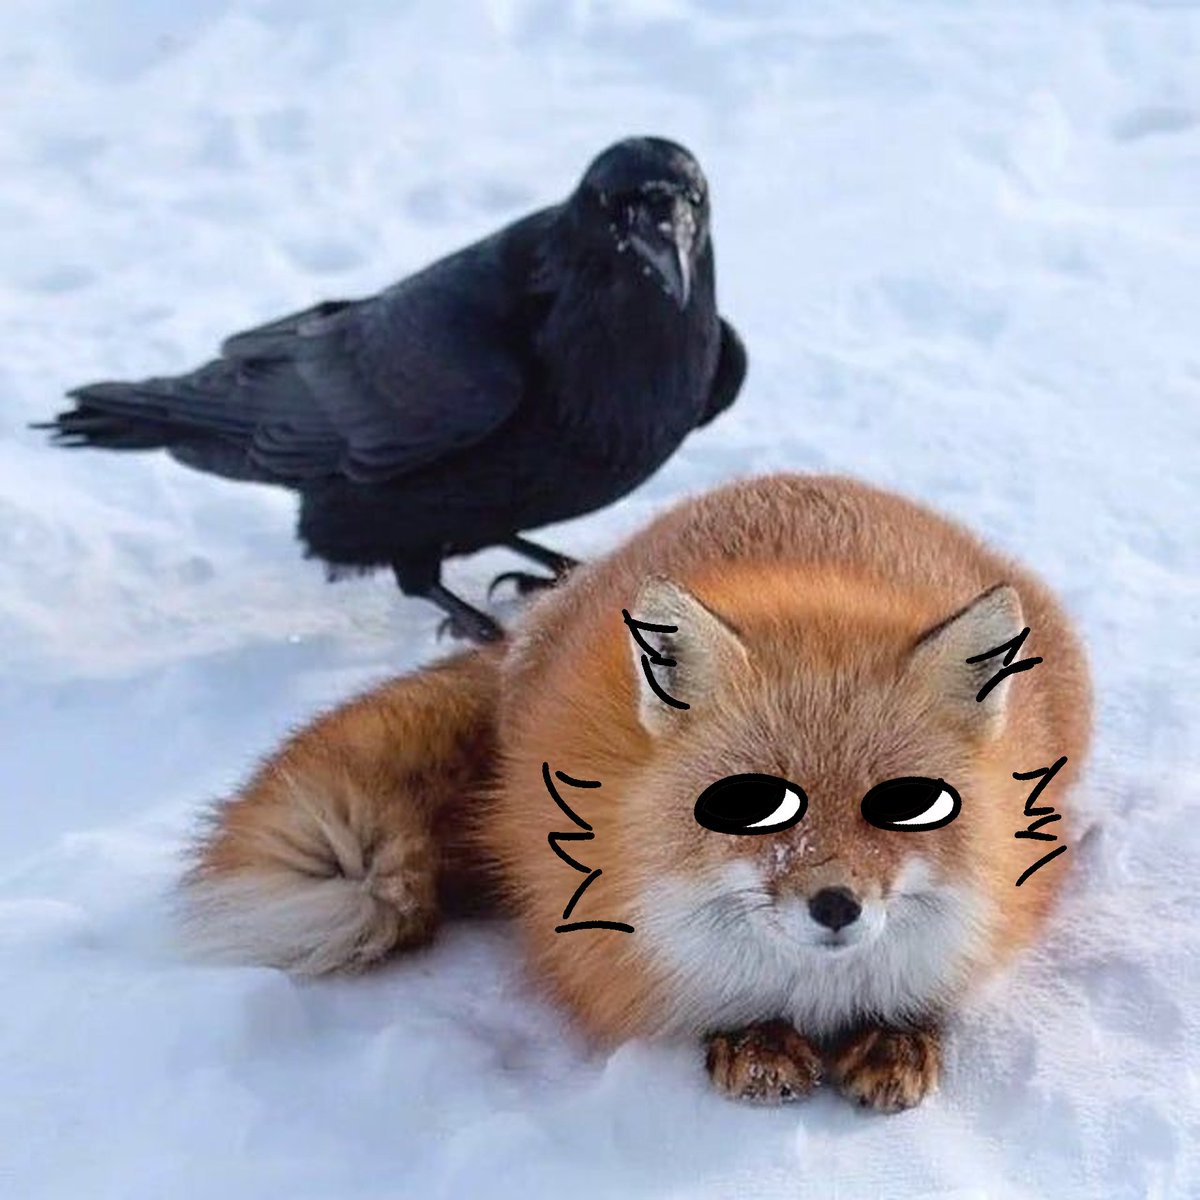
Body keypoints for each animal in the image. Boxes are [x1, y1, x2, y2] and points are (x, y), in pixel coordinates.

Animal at [182, 473, 1092, 1112]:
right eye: (754, 806)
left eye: (904, 806)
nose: (835, 906)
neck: (814, 991)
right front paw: (756, 1042)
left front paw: (899, 1034)